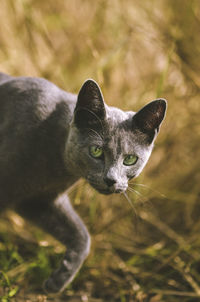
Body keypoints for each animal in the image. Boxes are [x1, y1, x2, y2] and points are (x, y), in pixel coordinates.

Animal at [0, 72, 166, 294]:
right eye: (96, 151)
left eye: (130, 159)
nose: (111, 179)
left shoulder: (38, 201)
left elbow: (82, 235)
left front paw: (59, 279)